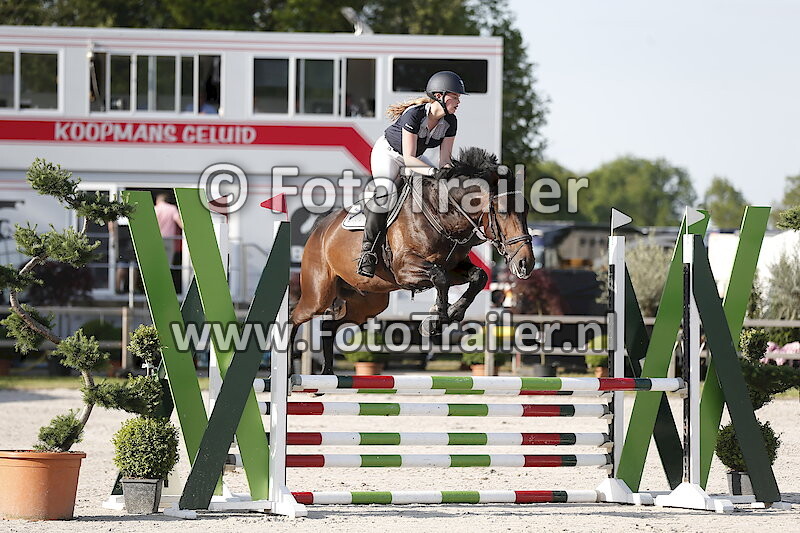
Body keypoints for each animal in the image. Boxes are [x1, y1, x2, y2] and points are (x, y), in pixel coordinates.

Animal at [290, 147, 535, 374]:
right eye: (502, 212)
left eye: (526, 211)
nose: (526, 263)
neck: (443, 215)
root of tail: (320, 228)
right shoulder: (404, 269)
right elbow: (440, 277)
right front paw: (435, 321)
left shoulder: (454, 266)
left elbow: (477, 276)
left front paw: (450, 313)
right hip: (318, 296)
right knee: (294, 318)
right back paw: (289, 372)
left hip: (368, 303)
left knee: (329, 325)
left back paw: (327, 372)